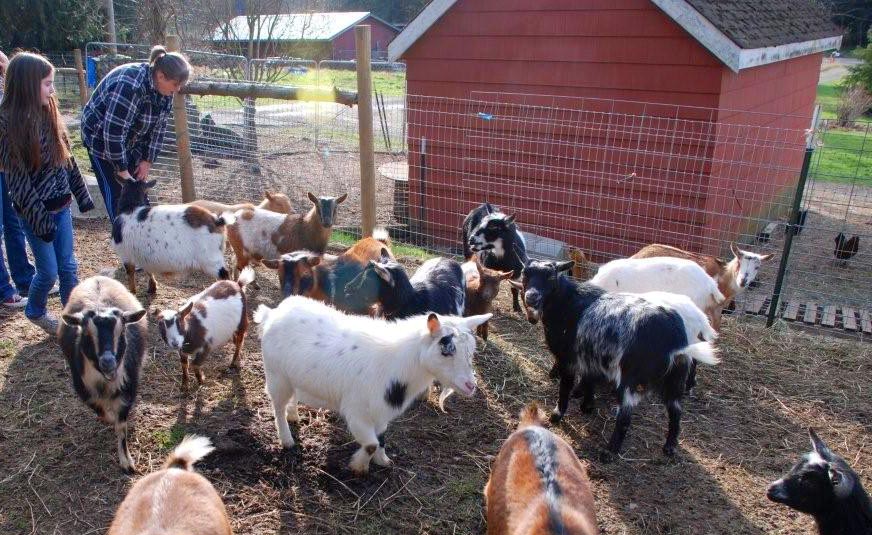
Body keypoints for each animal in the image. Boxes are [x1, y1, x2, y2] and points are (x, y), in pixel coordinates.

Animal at [58, 276, 147, 473]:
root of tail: (97, 277)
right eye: (86, 333)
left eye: (122, 330)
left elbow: (121, 427)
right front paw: (109, 420)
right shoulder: (84, 391)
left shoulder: (128, 390)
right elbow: (103, 413)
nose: (108, 362)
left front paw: (127, 462)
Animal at [254, 296, 491, 475]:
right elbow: (370, 444)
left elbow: (381, 438)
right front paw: (358, 467)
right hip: (276, 376)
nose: (470, 386)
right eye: (446, 351)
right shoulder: (357, 411)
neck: (398, 363)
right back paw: (286, 439)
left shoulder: (381, 411)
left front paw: (383, 460)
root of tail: (272, 313)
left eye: (470, 351)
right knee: (277, 406)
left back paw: (294, 415)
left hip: (290, 376)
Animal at [510, 260, 719, 456]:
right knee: (675, 412)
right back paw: (669, 447)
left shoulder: (568, 358)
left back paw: (610, 451)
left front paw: (556, 415)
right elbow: (589, 380)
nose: (532, 296)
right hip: (674, 378)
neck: (568, 302)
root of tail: (675, 342)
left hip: (630, 378)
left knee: (625, 417)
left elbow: (566, 387)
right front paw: (587, 405)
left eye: (551, 277)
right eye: (525, 274)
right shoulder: (590, 357)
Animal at [631, 242, 774, 329]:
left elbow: (716, 329)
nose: (743, 281)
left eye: (757, 267)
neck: (723, 277)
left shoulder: (716, 309)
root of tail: (639, 253)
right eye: (739, 263)